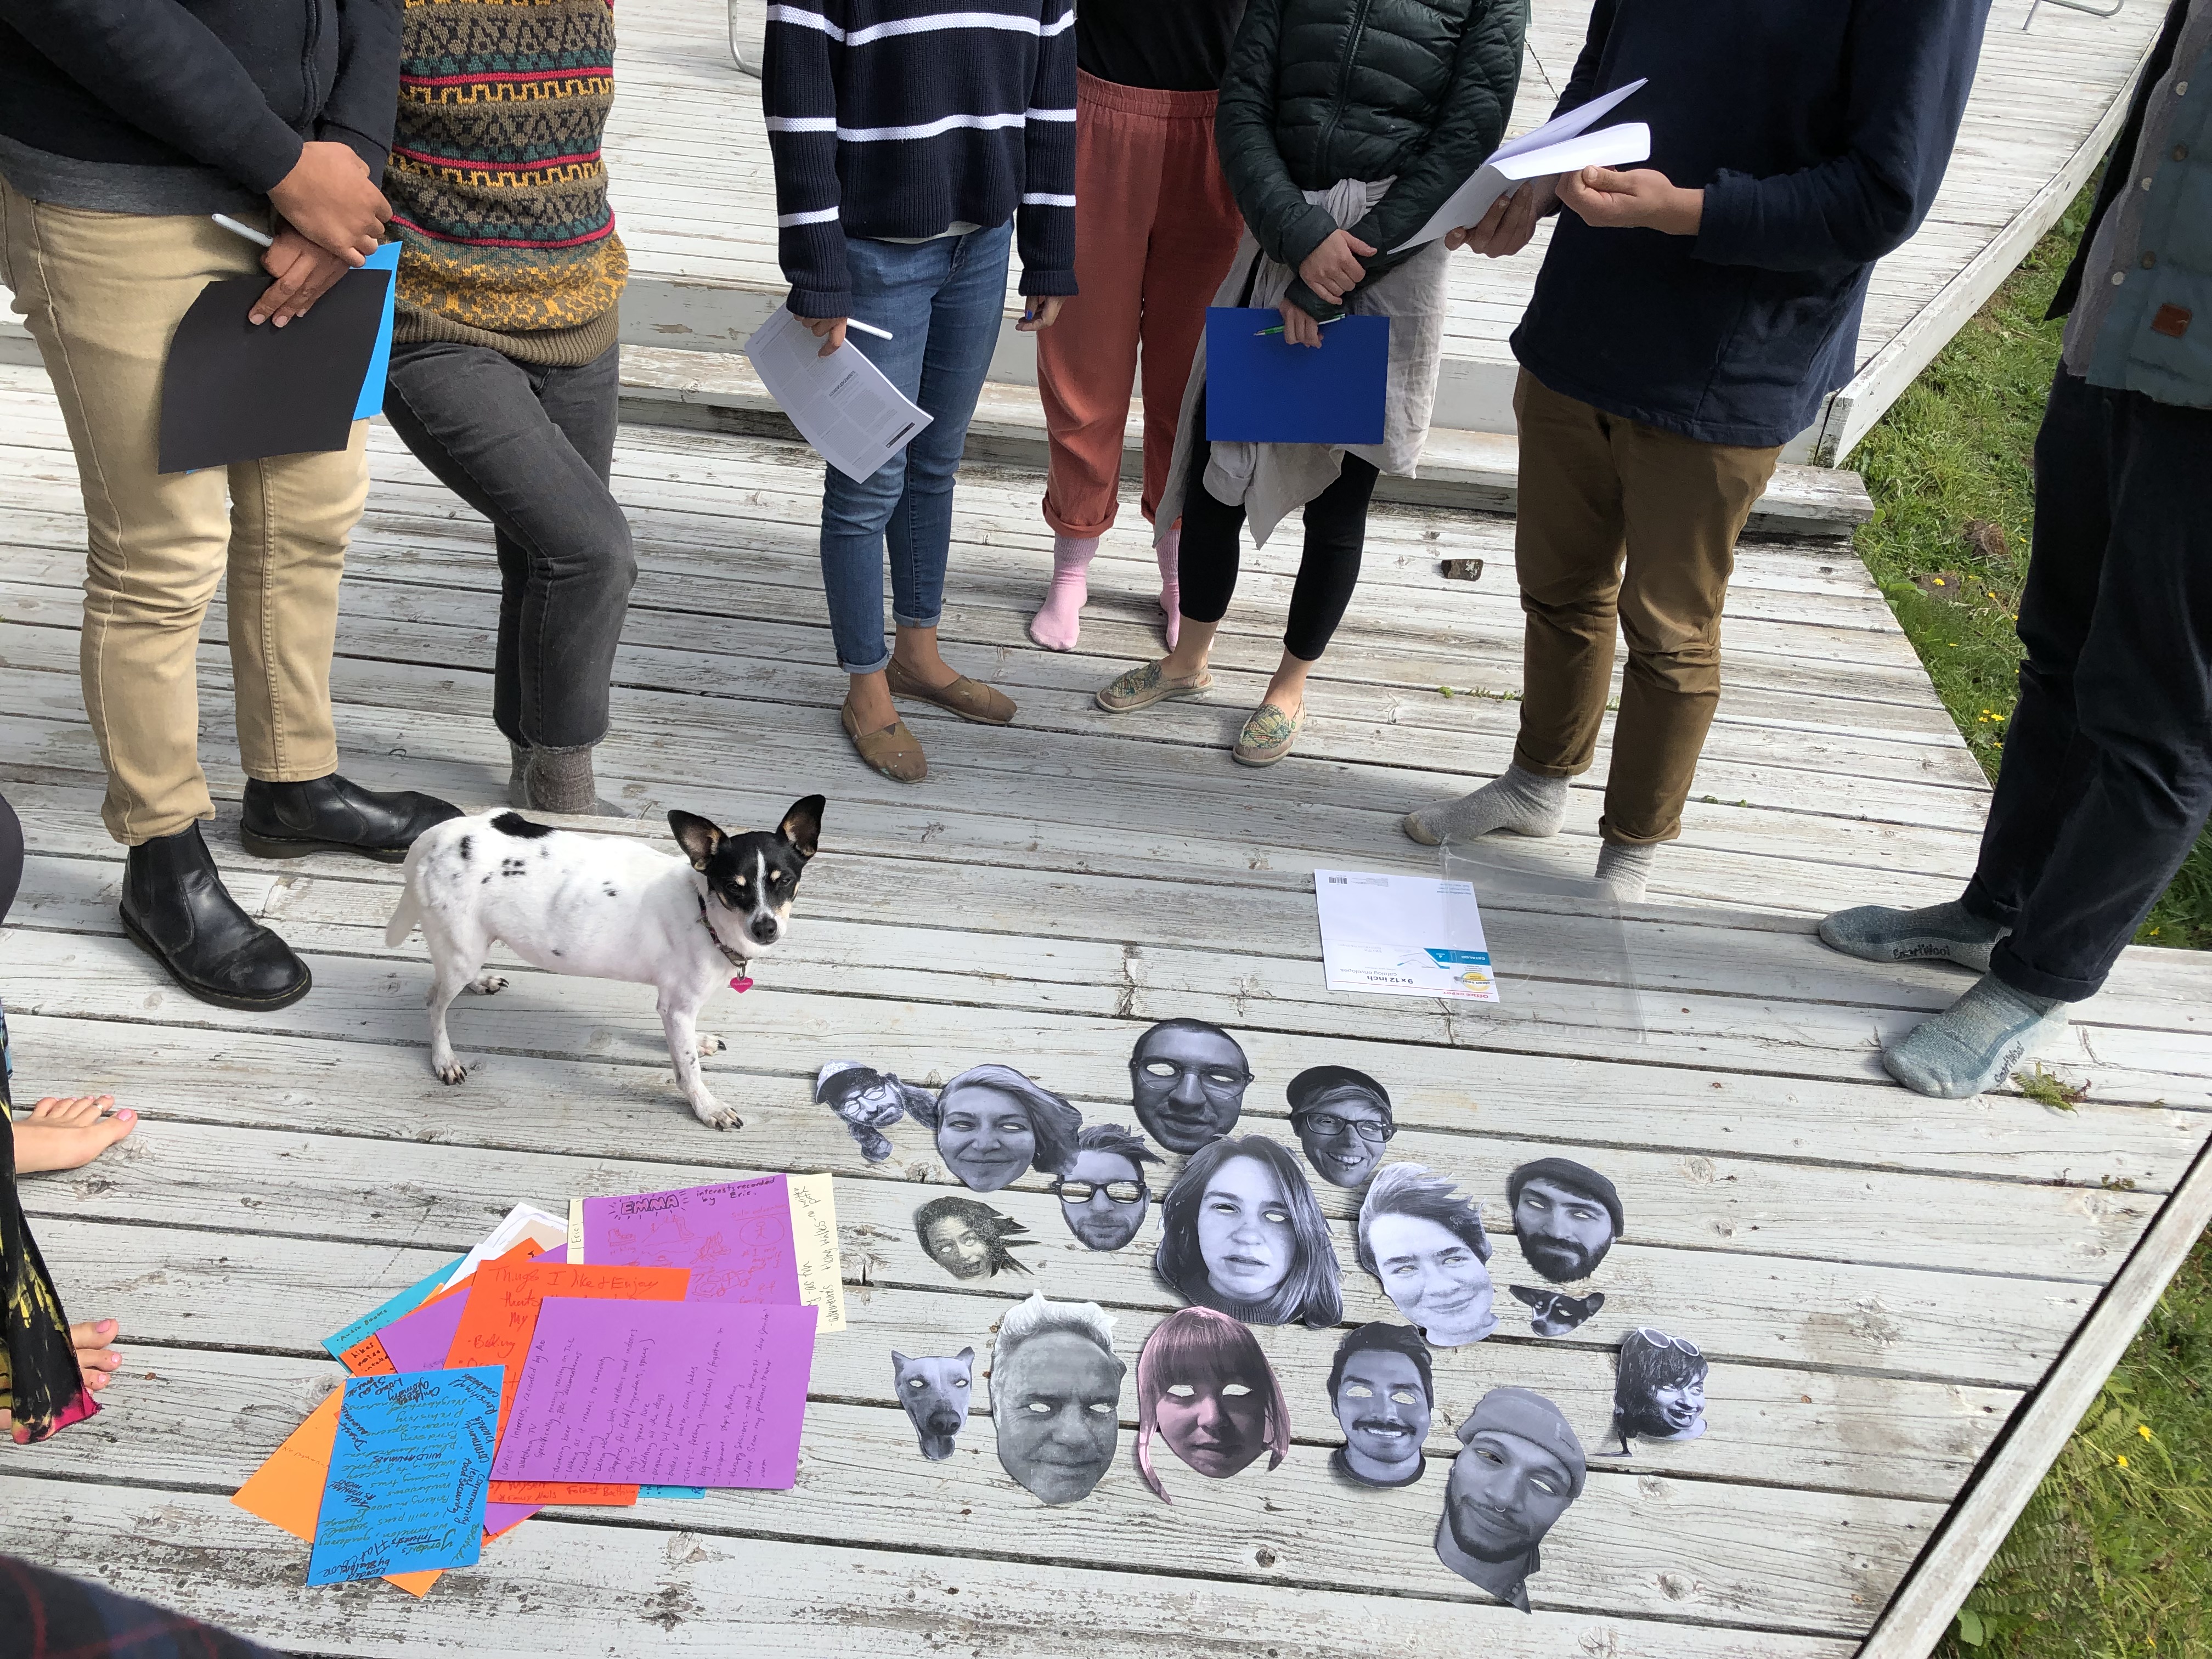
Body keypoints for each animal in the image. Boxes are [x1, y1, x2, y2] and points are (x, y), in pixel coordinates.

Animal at [385, 800, 827, 1141]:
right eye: (735, 886)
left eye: (785, 880)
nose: (766, 927)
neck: (705, 910)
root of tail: (435, 837)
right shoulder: (678, 1006)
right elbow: (687, 1069)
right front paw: (708, 1107)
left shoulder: (674, 1008)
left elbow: (681, 1046)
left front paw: (698, 1043)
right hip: (460, 951)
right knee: (434, 1002)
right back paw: (444, 1058)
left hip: (471, 945)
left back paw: (480, 981)